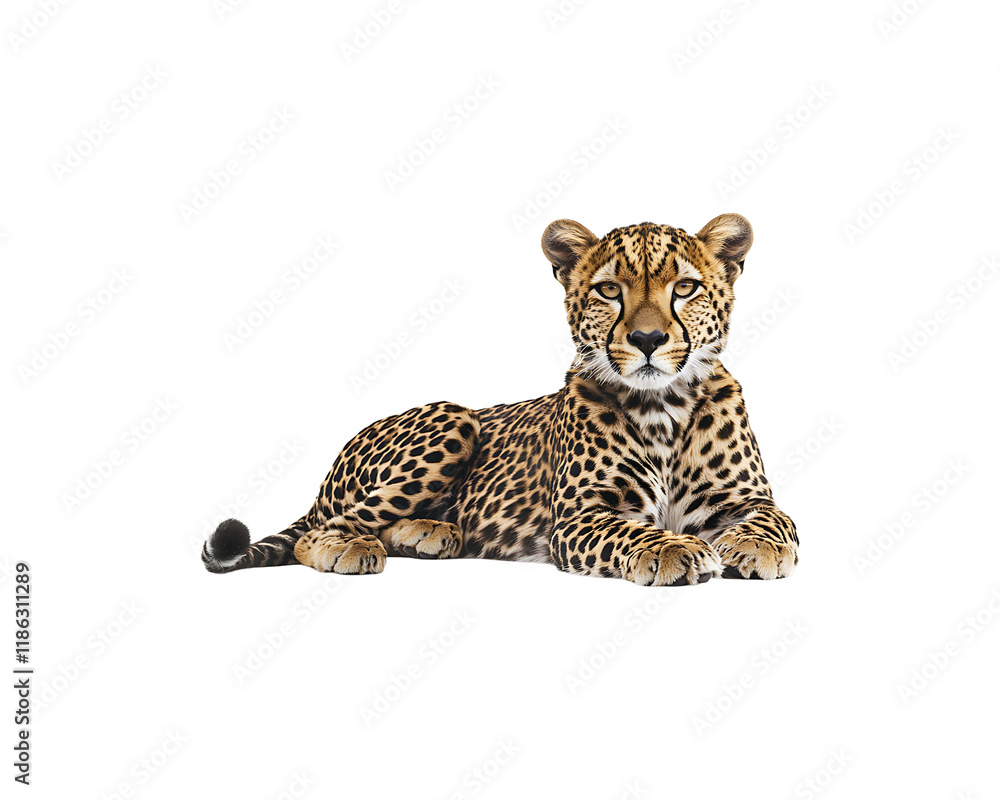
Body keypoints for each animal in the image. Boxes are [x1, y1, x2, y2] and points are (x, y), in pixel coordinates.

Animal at [202, 213, 798, 585]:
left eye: (685, 288)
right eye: (609, 291)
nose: (648, 340)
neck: (664, 407)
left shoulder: (746, 498)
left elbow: (778, 519)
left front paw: (754, 547)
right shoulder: (581, 515)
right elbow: (633, 531)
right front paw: (673, 548)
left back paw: (428, 533)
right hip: (453, 418)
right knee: (321, 531)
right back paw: (351, 547)